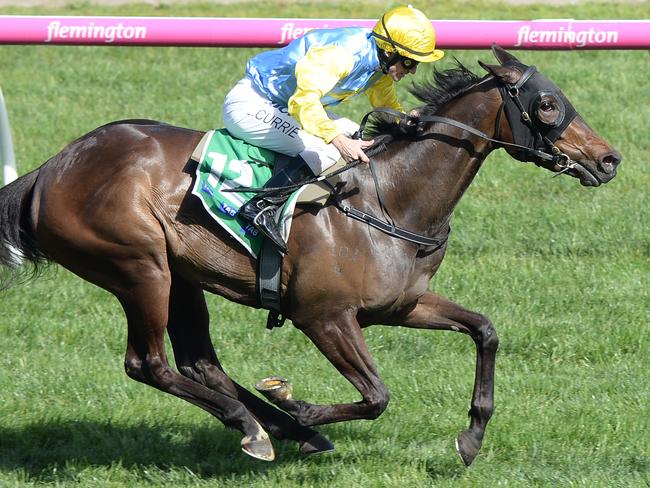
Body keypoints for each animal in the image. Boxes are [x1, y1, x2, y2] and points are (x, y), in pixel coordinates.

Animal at [0, 47, 616, 468]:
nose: (609, 159)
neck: (390, 199)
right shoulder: (323, 316)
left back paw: (268, 423)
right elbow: (376, 396)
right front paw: (302, 409)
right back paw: (259, 424)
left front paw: (471, 437)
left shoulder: (402, 305)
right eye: (547, 104)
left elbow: (484, 330)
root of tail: (49, 169)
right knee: (148, 363)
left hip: (181, 276)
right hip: (140, 268)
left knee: (199, 362)